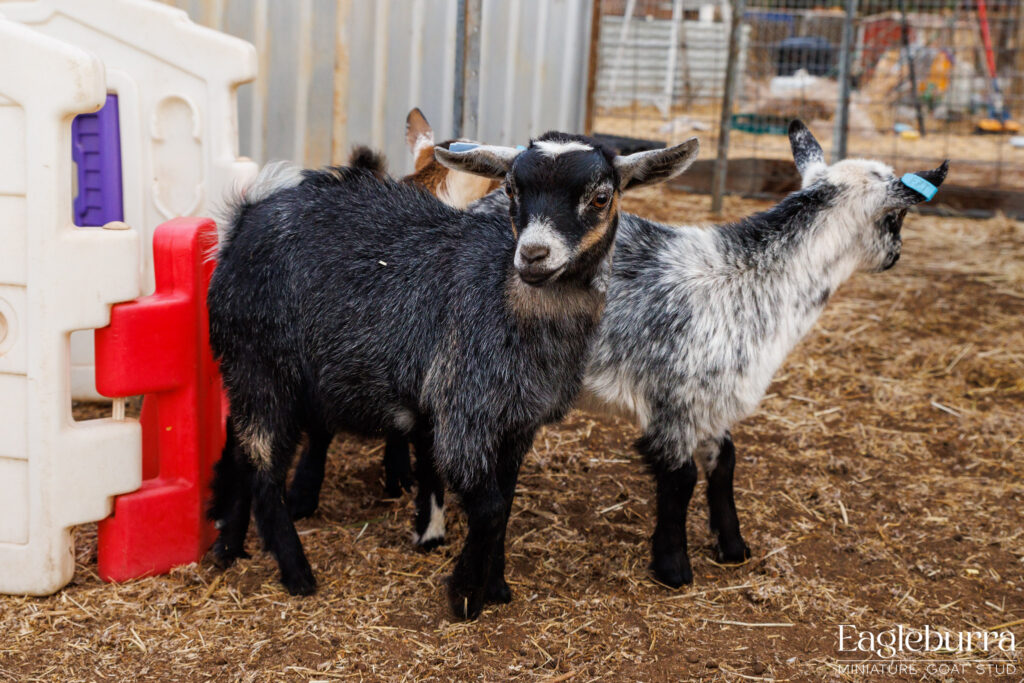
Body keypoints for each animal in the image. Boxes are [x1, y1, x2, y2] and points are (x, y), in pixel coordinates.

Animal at [206, 132, 700, 619]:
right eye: (511, 190)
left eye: (601, 197)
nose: (533, 255)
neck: (507, 299)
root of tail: (245, 216)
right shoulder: (463, 411)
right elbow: (490, 507)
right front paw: (465, 595)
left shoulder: (519, 423)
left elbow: (506, 499)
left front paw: (495, 586)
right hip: (260, 363)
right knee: (264, 468)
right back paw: (297, 573)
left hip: (259, 372)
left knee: (240, 450)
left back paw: (228, 546)